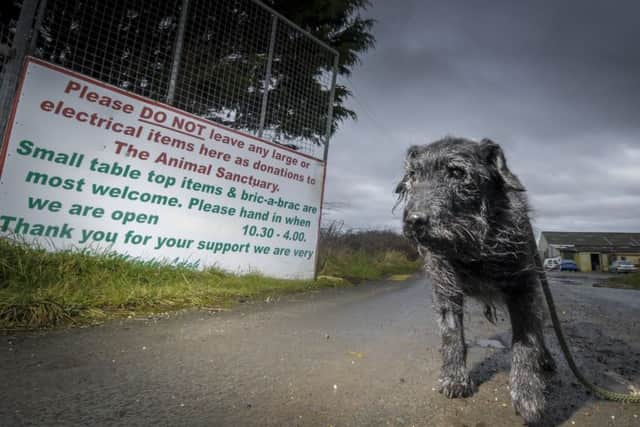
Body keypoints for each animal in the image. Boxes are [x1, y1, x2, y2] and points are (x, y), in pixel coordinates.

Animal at [400, 136, 556, 424]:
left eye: (457, 172)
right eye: (413, 176)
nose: (414, 220)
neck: (473, 247)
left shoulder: (523, 290)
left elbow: (526, 342)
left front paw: (527, 392)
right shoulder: (446, 290)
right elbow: (451, 334)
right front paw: (454, 377)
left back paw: (546, 359)